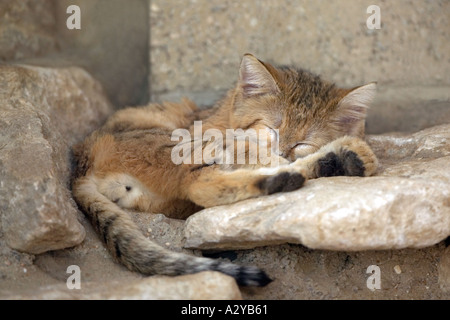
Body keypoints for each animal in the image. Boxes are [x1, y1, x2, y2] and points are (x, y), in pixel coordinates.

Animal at [72, 53, 378, 286]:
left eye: (303, 142)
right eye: (271, 129)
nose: (282, 151)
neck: (221, 114)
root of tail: (83, 162)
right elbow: (254, 153)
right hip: (184, 145)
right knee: (199, 184)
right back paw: (312, 167)